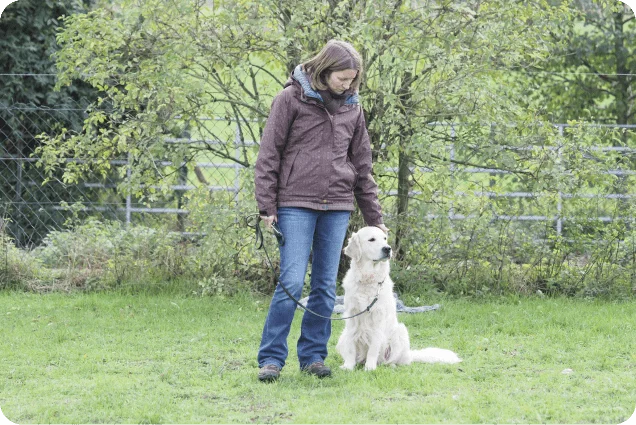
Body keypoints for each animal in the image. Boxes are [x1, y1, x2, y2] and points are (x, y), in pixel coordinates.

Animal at [336, 227, 460, 370]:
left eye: (385, 238)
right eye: (371, 239)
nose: (387, 248)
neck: (368, 279)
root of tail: (410, 354)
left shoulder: (378, 318)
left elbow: (373, 347)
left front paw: (370, 367)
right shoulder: (352, 316)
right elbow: (351, 346)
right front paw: (348, 366)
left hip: (400, 332)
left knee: (394, 360)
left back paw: (389, 365)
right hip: (342, 336)